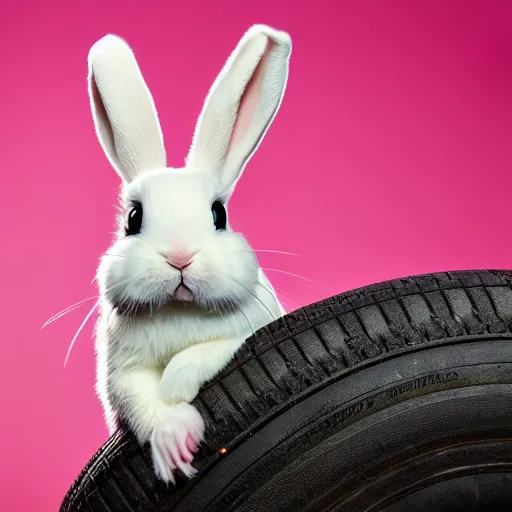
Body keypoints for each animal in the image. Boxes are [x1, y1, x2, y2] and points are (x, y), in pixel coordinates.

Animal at [88, 24, 292, 486]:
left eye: (219, 214)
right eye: (132, 218)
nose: (180, 258)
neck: (181, 313)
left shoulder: (248, 329)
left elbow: (209, 351)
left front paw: (176, 382)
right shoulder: (121, 374)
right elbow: (144, 402)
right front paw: (175, 444)